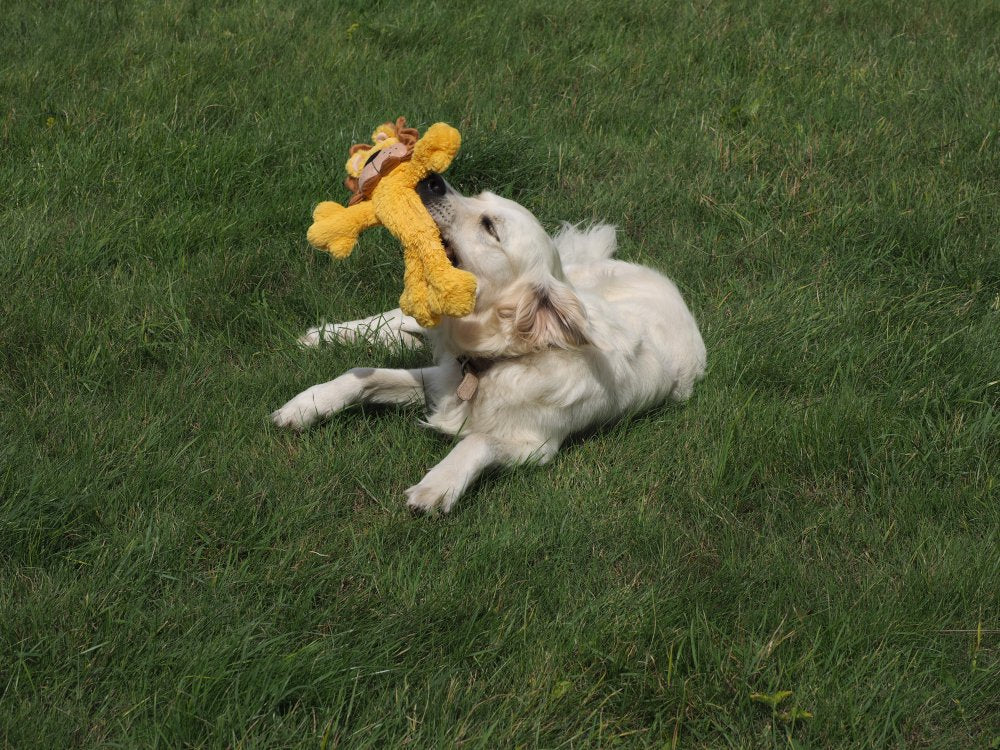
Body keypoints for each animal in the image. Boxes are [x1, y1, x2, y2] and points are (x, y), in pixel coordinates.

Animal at [270, 173, 708, 516]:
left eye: (490, 227)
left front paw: (437, 486)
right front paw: (304, 405)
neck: (504, 359)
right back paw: (322, 334)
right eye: (478, 196)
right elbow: (360, 374)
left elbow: (477, 439)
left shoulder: (535, 446)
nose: (431, 178)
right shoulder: (446, 378)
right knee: (395, 320)